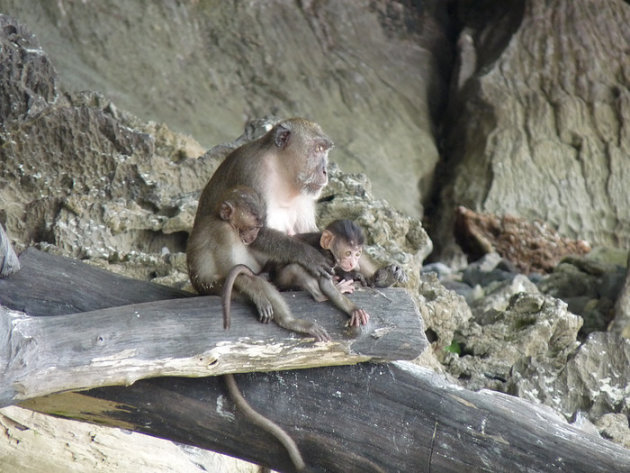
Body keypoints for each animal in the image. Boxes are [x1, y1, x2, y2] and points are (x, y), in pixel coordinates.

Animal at [188, 117, 336, 340]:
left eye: (325, 151)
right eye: (318, 149)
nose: (325, 171)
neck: (284, 174)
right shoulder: (251, 170)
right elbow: (255, 232)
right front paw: (310, 255)